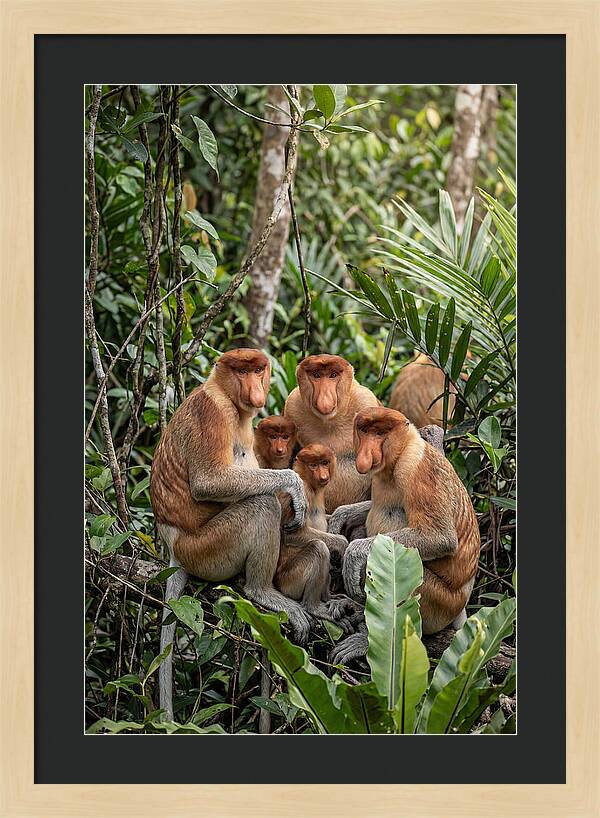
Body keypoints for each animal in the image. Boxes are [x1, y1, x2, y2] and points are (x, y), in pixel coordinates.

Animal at [150, 348, 310, 720]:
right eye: (241, 371)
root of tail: (173, 547)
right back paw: (261, 591)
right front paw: (294, 487)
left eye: (258, 370)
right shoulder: (213, 413)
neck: (225, 394)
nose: (255, 390)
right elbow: (210, 481)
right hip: (207, 549)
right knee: (262, 505)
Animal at [284, 354, 379, 515]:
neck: (329, 421)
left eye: (333, 375)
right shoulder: (292, 406)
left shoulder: (366, 401)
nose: (325, 398)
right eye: (316, 375)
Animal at [329, 409, 479, 665]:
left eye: (380, 433)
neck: (400, 453)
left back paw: (368, 639)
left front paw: (354, 553)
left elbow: (440, 537)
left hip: (439, 603)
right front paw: (340, 516)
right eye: (364, 431)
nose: (366, 453)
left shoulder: (417, 470)